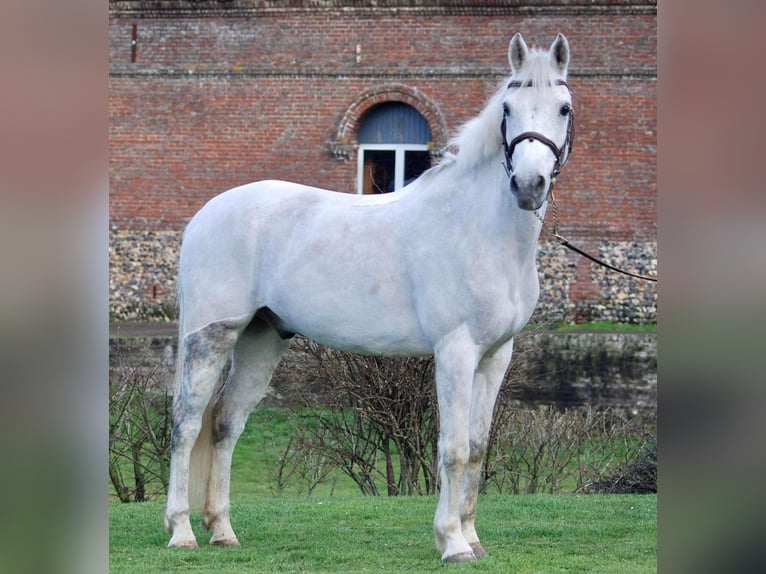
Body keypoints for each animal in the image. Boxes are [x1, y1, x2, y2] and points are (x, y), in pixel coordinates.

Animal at [168, 33, 576, 564]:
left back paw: (222, 530)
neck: (478, 228)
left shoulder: (495, 356)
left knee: (225, 425)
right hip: (210, 336)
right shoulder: (456, 351)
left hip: (261, 339)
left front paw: (473, 538)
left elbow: (478, 446)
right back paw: (182, 530)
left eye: (564, 108)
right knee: (186, 424)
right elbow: (453, 447)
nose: (528, 186)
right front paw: (451, 542)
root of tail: (204, 215)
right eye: (508, 108)